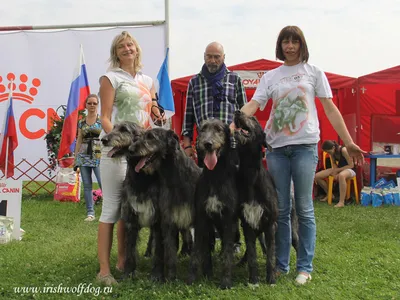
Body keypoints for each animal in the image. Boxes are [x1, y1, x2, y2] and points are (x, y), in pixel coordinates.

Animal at [130, 128, 200, 282]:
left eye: (151, 137)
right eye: (141, 135)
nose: (131, 149)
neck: (176, 178)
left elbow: (196, 253)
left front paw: (192, 277)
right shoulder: (168, 221)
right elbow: (169, 252)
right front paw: (171, 278)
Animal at [186, 118, 239, 290]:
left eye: (219, 129)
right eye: (202, 129)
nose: (208, 144)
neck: (215, 175)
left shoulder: (229, 220)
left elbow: (228, 253)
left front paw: (226, 281)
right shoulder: (202, 218)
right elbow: (197, 251)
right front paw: (192, 278)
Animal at [234, 111, 278, 284]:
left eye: (253, 118)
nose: (237, 112)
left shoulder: (270, 224)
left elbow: (271, 256)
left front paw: (271, 279)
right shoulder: (247, 223)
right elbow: (252, 254)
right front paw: (253, 280)